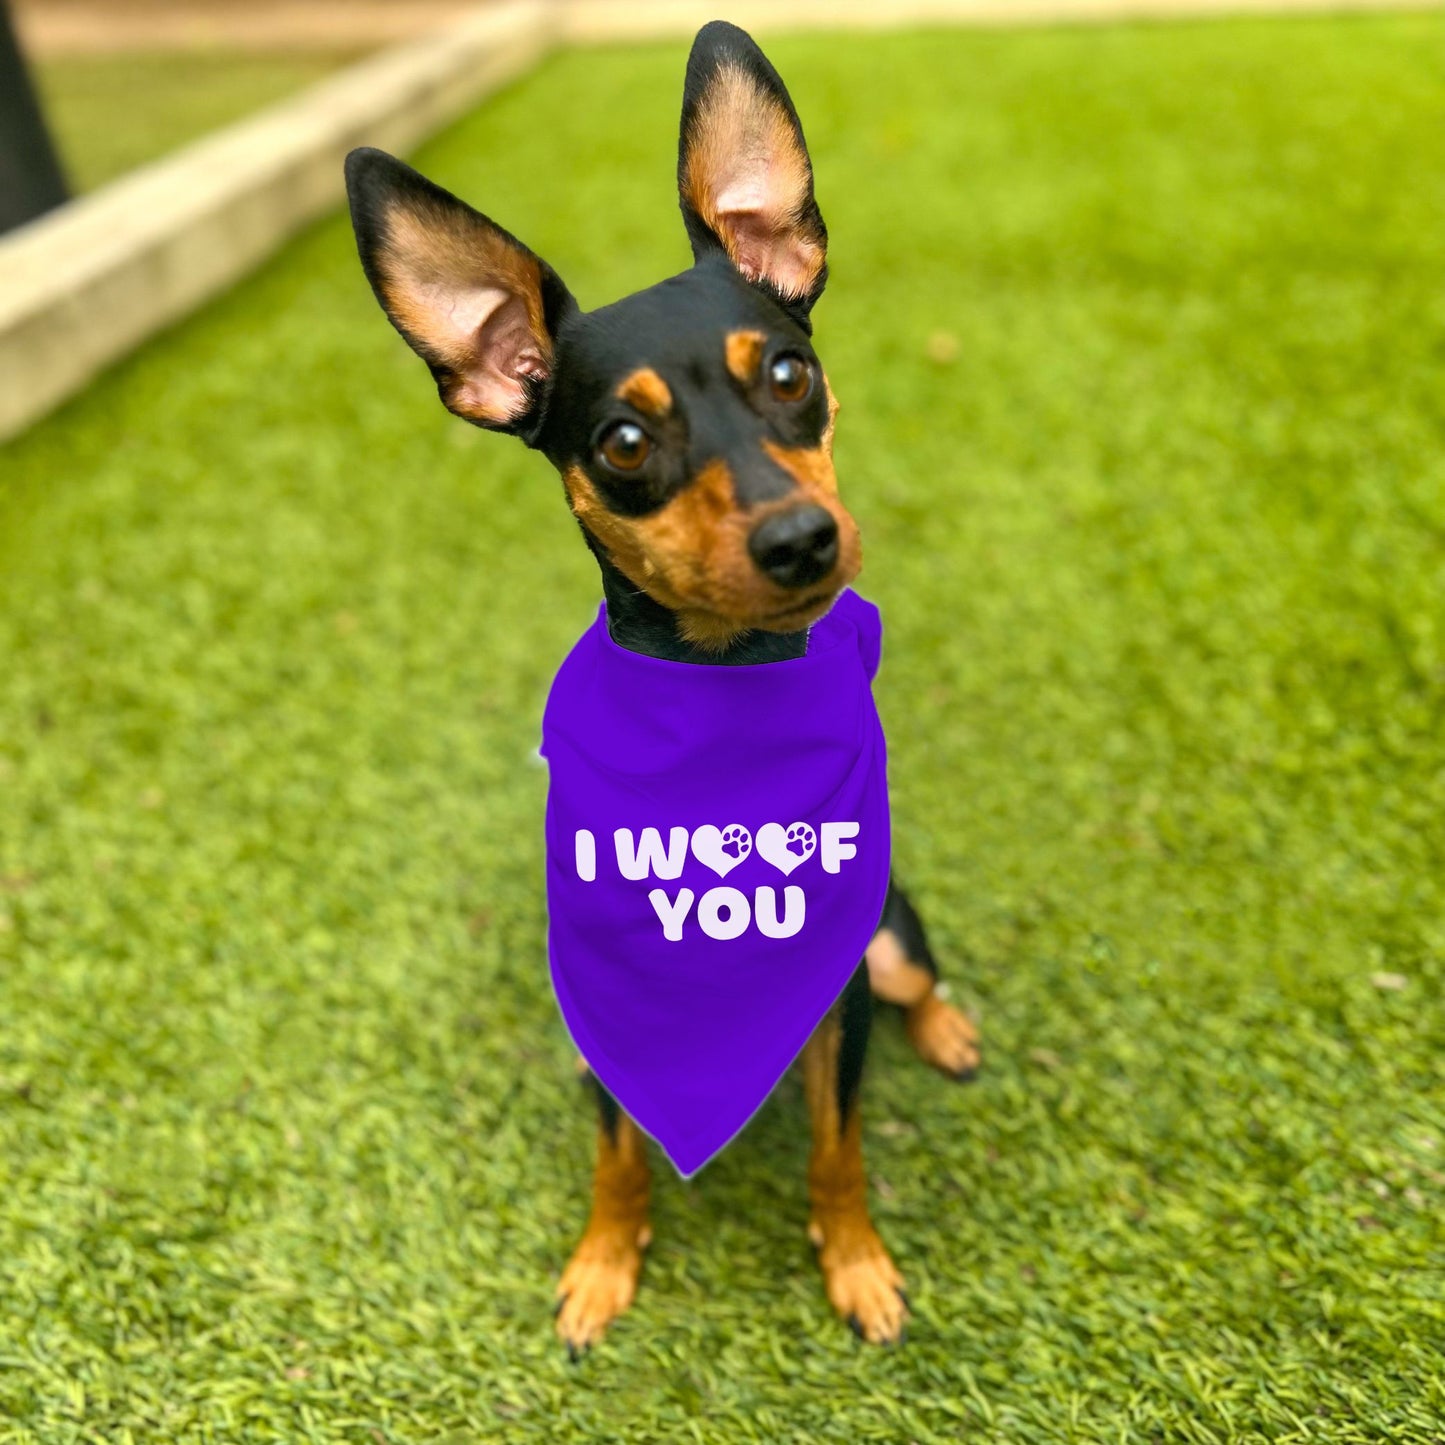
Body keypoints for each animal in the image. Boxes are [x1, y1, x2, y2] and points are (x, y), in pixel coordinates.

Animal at [345, 16, 988, 1346]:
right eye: (623, 444)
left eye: (790, 373)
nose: (800, 540)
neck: (720, 706)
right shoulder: (602, 1002)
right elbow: (616, 1154)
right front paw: (602, 1261)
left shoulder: (837, 999)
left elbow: (837, 1147)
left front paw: (854, 1260)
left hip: (888, 934)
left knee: (917, 972)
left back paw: (949, 1027)